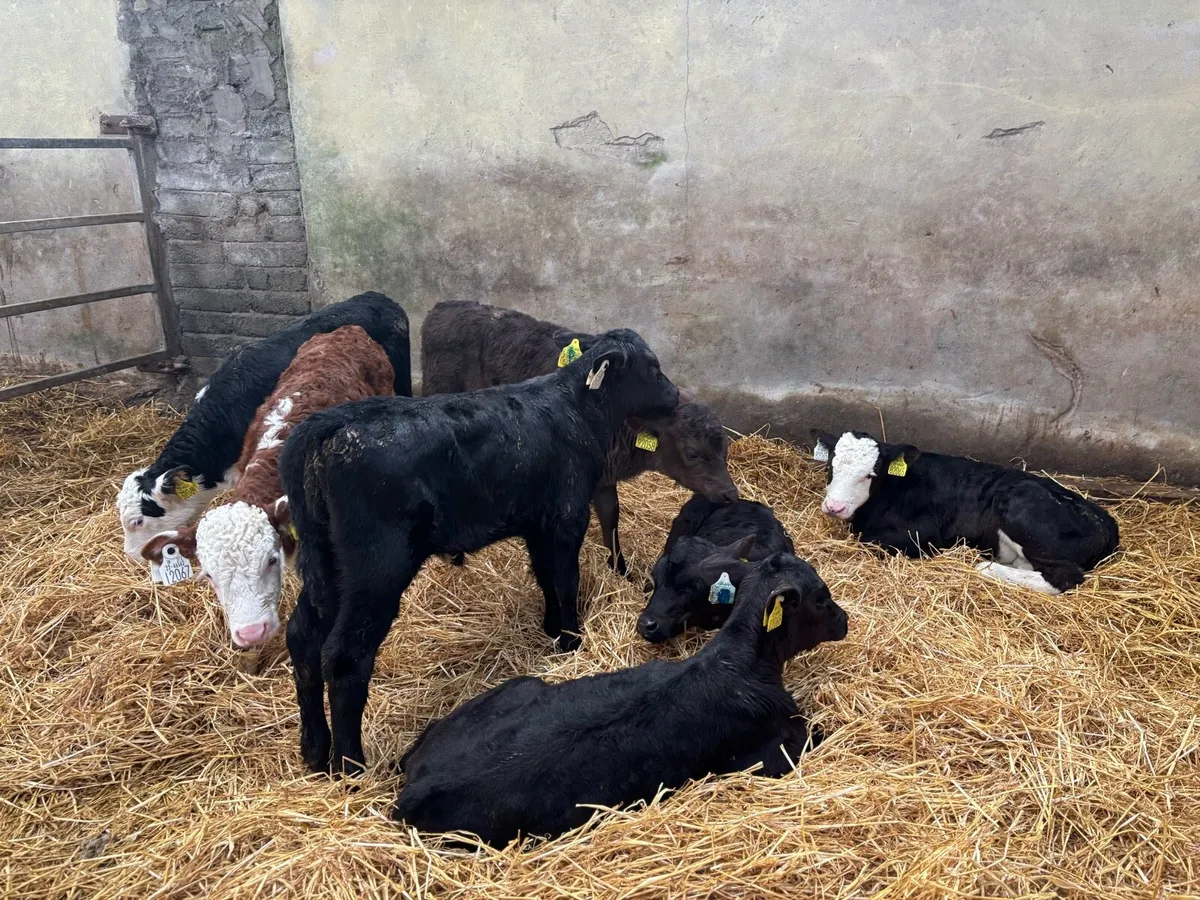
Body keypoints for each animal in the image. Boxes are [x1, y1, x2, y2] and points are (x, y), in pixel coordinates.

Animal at [279, 329, 680, 774]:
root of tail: (329, 424)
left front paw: (552, 630)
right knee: (345, 656)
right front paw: (572, 640)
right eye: (652, 368)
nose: (676, 395)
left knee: (302, 636)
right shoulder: (566, 517)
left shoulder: (537, 523)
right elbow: (565, 580)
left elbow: (545, 577)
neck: (575, 410)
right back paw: (350, 766)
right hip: (376, 566)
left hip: (328, 565)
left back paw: (314, 751)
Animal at [391, 551, 848, 848]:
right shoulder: (781, 749)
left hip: (520, 685)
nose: (845, 619)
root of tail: (421, 781)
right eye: (821, 597)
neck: (740, 660)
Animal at [421, 299, 737, 574]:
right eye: (692, 453)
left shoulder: (605, 478)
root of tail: (442, 307)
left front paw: (620, 570)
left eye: (725, 449)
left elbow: (611, 518)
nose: (730, 495)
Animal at [812, 429, 1120, 593]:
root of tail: (1107, 523)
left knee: (1064, 577)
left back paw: (987, 568)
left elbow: (871, 540)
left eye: (870, 474)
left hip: (1023, 510)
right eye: (831, 466)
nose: (834, 506)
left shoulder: (923, 535)